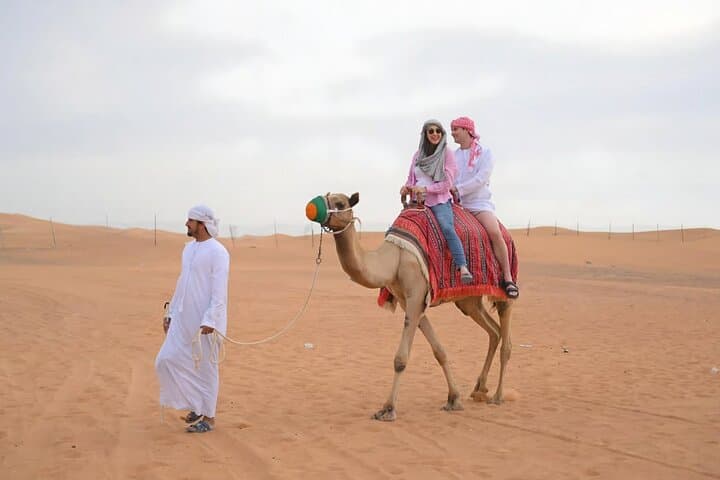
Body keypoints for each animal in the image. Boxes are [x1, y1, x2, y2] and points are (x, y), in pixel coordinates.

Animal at [307, 192, 515, 422]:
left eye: (340, 203)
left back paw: (498, 396)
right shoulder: (409, 301)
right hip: (469, 301)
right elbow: (439, 351)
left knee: (506, 337)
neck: (394, 259)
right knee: (494, 331)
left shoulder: (415, 294)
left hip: (503, 284)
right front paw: (454, 399)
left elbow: (400, 359)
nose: (312, 207)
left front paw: (388, 409)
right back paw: (480, 389)